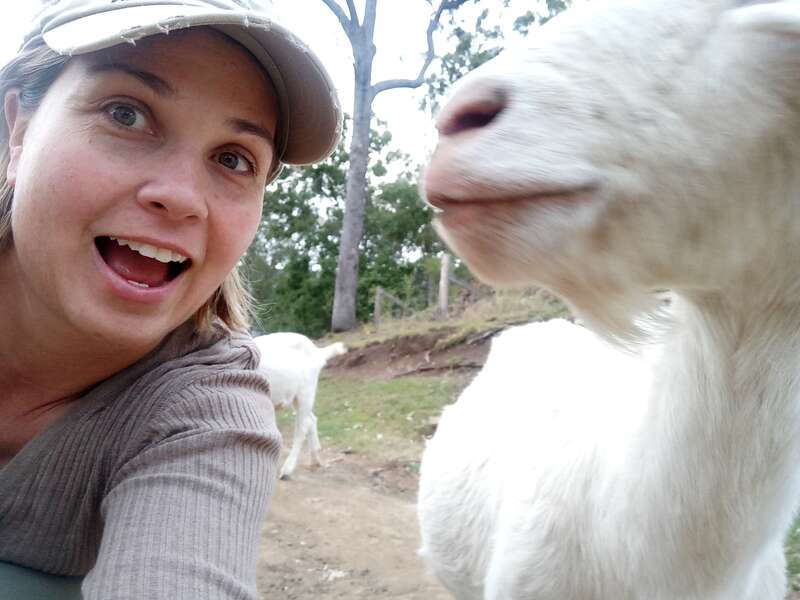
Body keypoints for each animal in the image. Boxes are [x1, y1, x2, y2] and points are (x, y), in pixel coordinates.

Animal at [253, 333, 347, 479]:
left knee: (302, 428)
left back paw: (287, 469)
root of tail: (317, 352)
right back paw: (315, 460)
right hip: (296, 398)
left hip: (306, 392)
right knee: (312, 420)